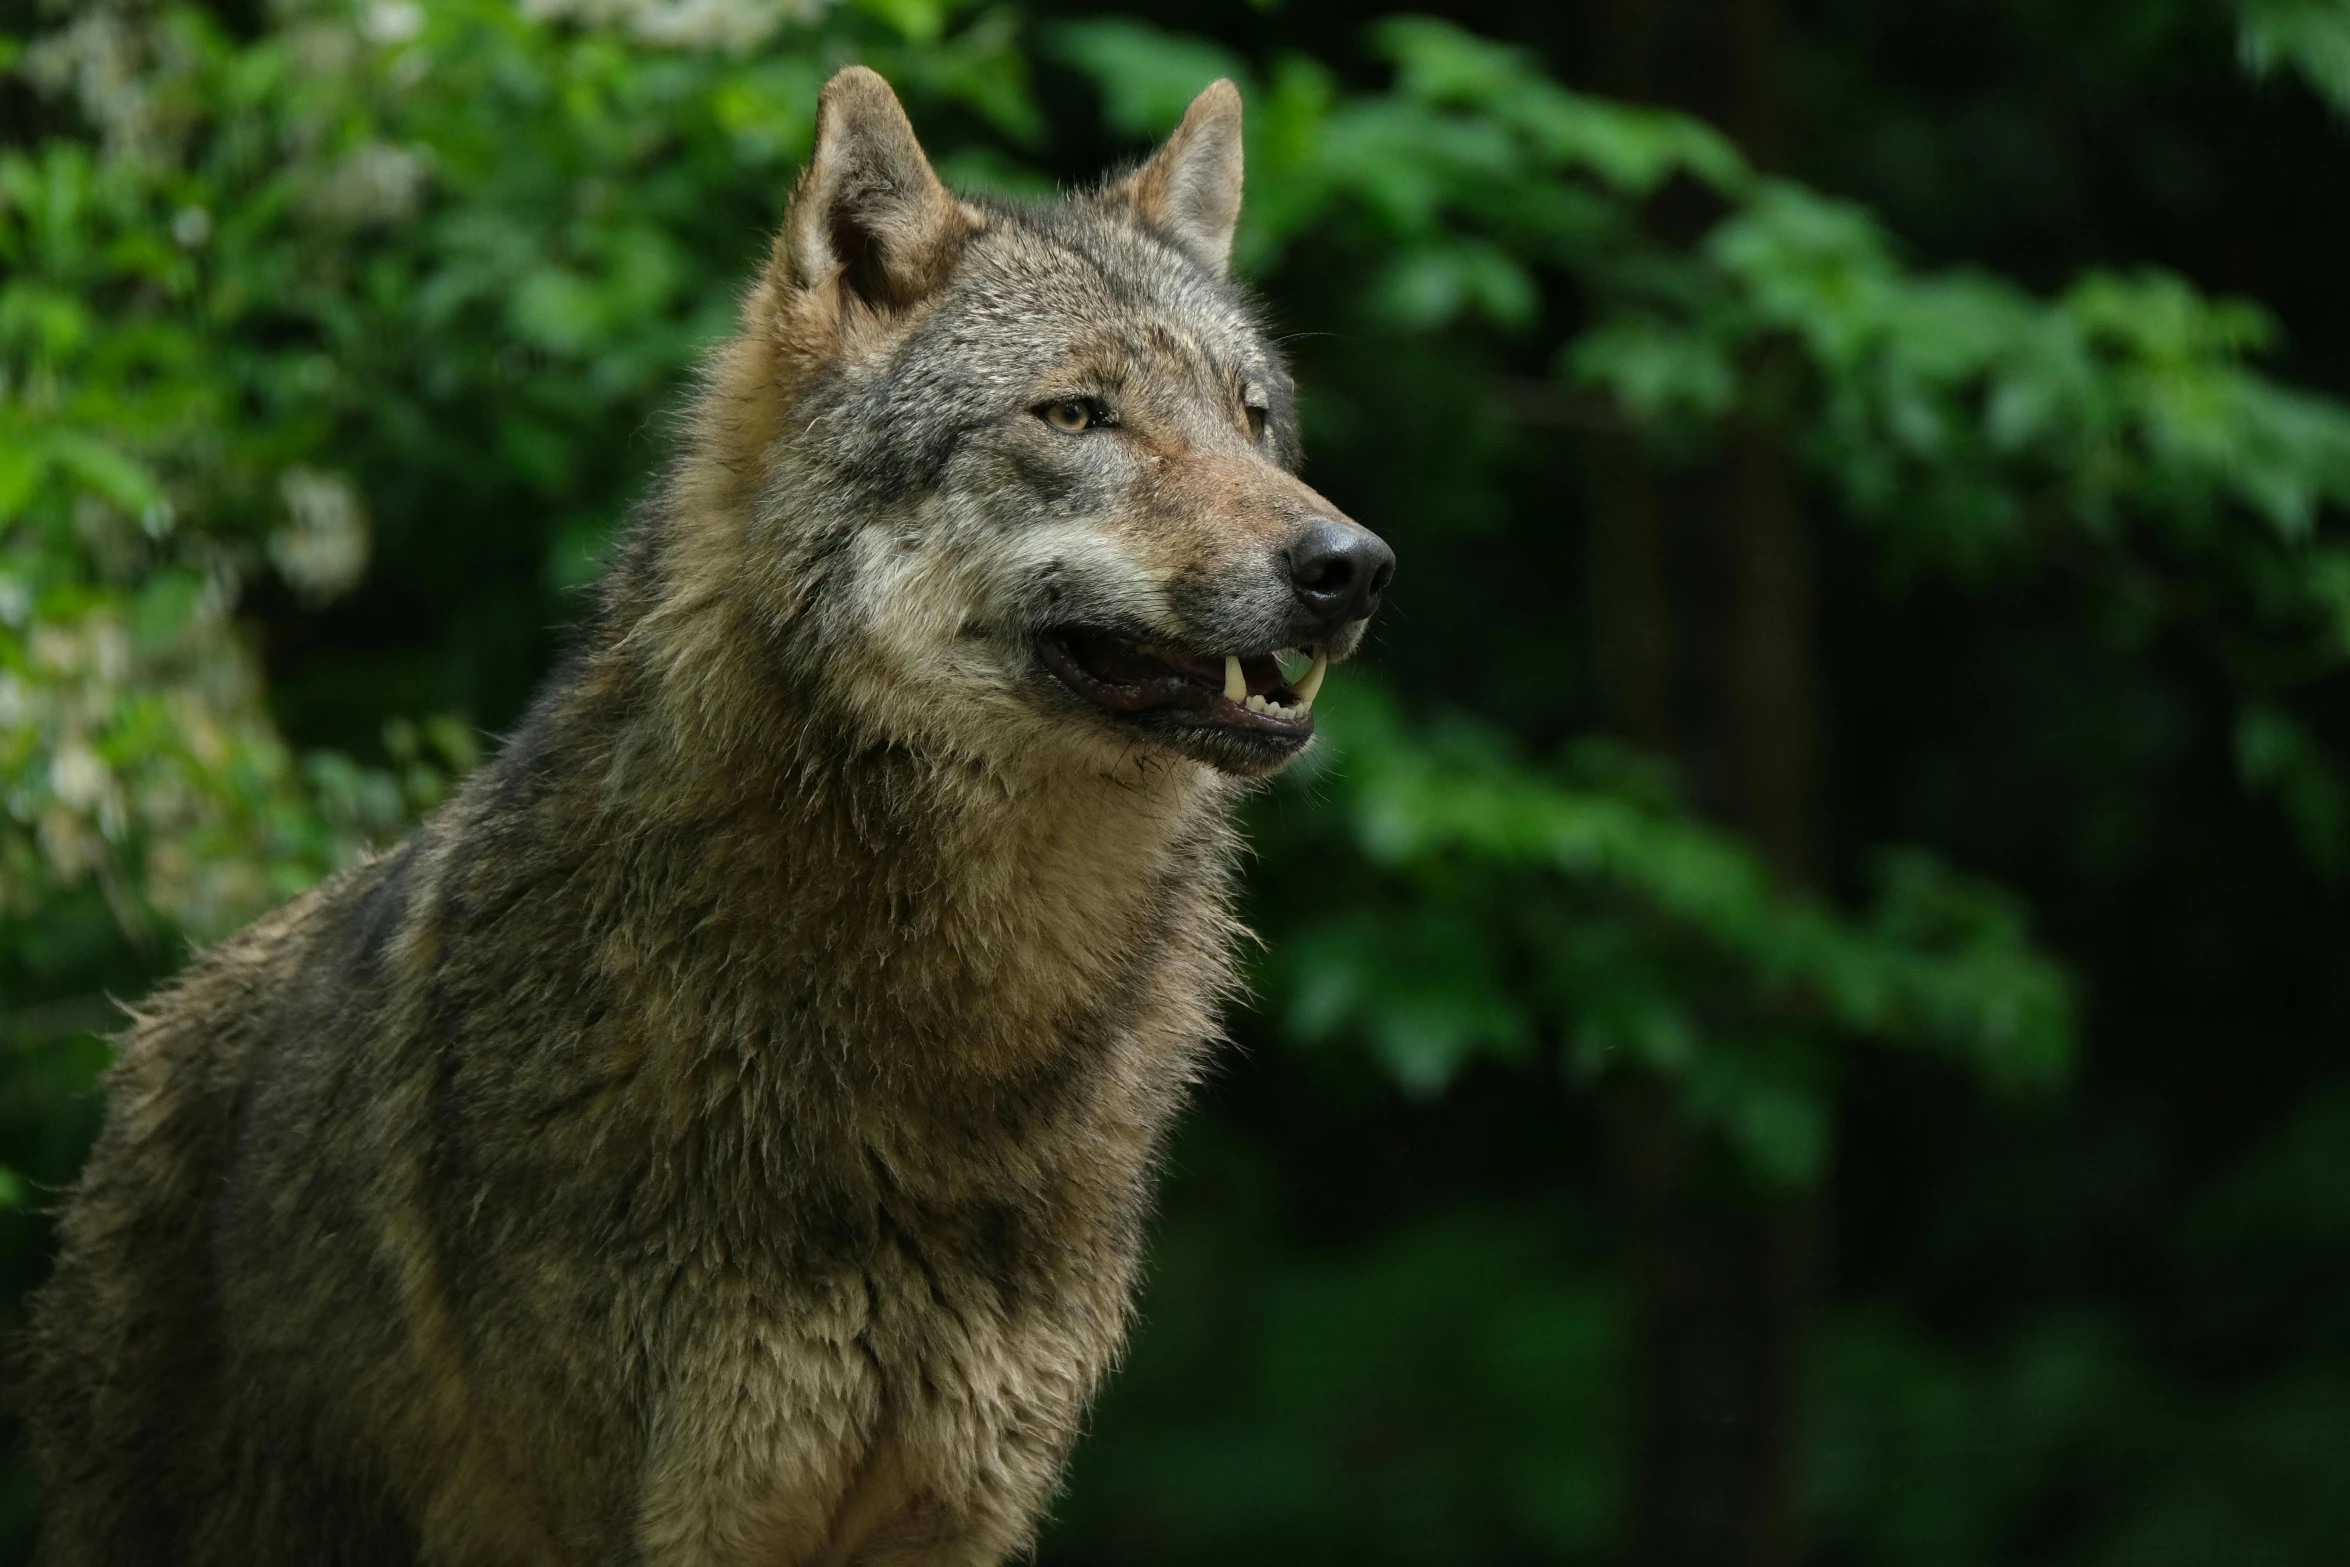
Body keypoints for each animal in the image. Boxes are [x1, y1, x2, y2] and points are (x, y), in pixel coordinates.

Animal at [22, 67, 1391, 1559]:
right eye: (1076, 415)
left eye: (1251, 417)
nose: (1351, 565)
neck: (949, 1052)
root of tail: (145, 1044)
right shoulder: (671, 1511)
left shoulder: (959, 1510)